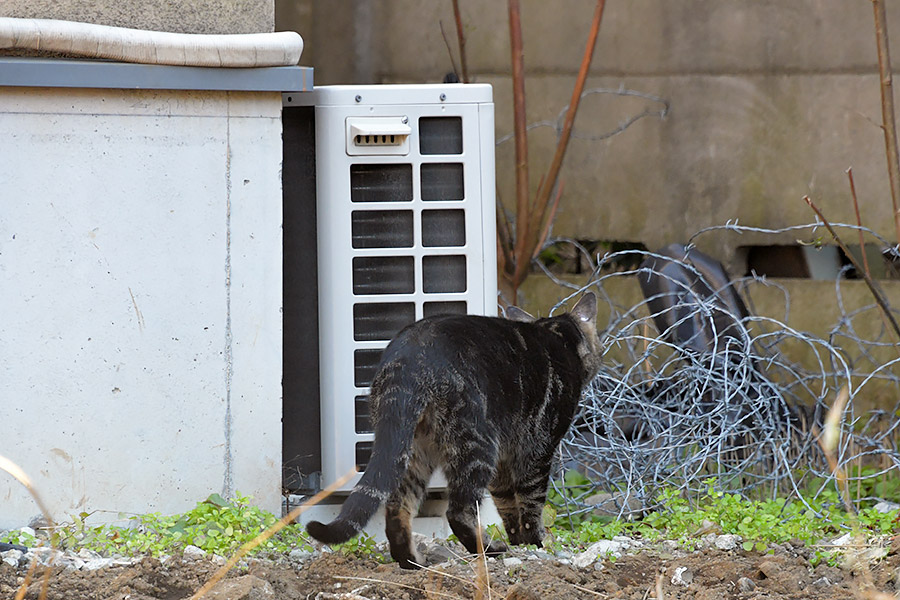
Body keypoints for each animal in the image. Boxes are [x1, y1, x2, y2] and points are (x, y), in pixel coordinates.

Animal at [306, 292, 600, 568]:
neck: (557, 335)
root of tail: (408, 358)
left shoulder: (505, 461)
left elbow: (507, 505)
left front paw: (519, 542)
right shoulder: (537, 450)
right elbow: (531, 504)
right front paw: (533, 543)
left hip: (412, 451)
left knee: (397, 507)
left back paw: (411, 561)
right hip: (476, 447)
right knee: (457, 512)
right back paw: (489, 550)